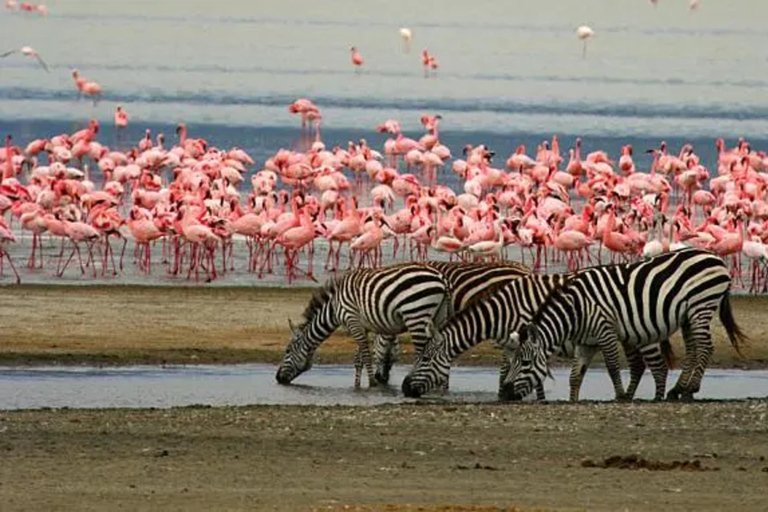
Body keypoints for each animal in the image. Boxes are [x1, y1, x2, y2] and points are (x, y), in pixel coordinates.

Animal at [274, 264, 450, 388]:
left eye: (287, 351)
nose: (277, 378)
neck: (334, 307)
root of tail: (441, 277)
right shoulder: (361, 326)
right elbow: (358, 358)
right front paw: (357, 386)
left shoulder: (352, 320)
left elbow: (365, 355)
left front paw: (372, 383)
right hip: (437, 318)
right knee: (441, 348)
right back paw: (441, 386)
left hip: (416, 314)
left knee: (422, 351)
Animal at [498, 249, 744, 404]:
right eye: (513, 360)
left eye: (525, 363)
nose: (506, 393)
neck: (576, 310)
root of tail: (714, 256)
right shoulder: (586, 342)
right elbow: (576, 375)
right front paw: (573, 400)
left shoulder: (605, 331)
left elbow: (613, 366)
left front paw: (620, 395)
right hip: (687, 316)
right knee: (693, 349)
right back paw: (678, 390)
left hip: (701, 306)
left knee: (705, 348)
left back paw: (691, 388)